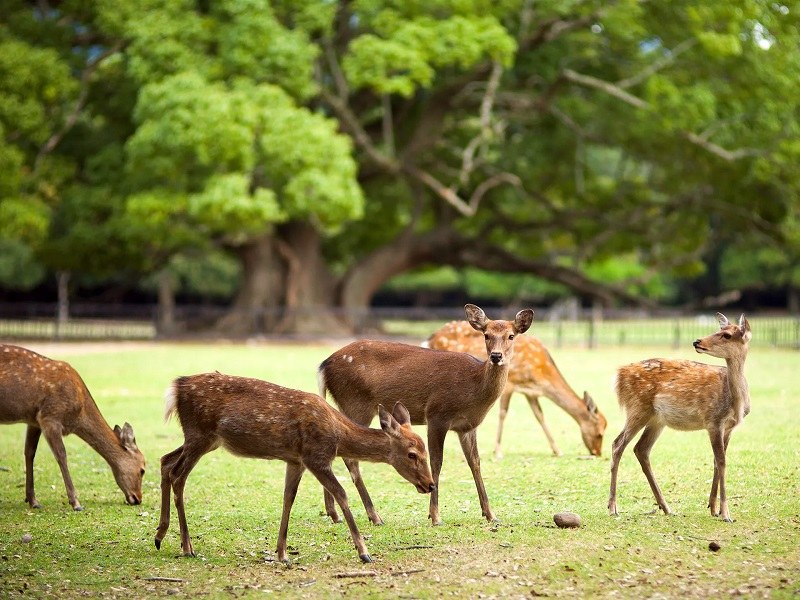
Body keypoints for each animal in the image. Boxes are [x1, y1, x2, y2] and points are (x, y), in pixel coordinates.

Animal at [0, 344, 145, 508]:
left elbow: (29, 452)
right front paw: (75, 502)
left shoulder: (34, 420)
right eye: (142, 470)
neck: (78, 416)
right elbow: (61, 455)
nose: (138, 498)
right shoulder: (50, 417)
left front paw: (33, 501)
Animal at [153, 372, 434, 564]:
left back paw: (159, 536)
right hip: (200, 434)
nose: (430, 484)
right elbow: (341, 494)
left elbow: (288, 498)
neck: (338, 435)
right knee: (178, 475)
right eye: (412, 454)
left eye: (425, 451)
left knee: (165, 461)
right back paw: (187, 546)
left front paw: (282, 553)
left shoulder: (295, 460)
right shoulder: (315, 456)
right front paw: (364, 552)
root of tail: (176, 388)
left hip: (203, 439)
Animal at [318, 304, 532, 524]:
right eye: (486, 335)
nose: (496, 356)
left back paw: (334, 513)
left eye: (511, 336)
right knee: (350, 457)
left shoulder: (467, 426)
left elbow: (475, 463)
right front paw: (435, 516)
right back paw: (374, 516)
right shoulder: (437, 415)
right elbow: (436, 462)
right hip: (355, 403)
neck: (474, 388)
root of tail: (324, 365)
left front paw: (490, 514)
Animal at [424, 322, 608, 458]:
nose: (597, 453)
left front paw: (557, 450)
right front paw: (498, 452)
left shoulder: (531, 392)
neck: (540, 373)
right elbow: (503, 414)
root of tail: (430, 338)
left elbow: (539, 415)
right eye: (600, 433)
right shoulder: (510, 384)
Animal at [608, 314, 752, 520]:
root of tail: (618, 376)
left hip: (656, 419)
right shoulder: (713, 421)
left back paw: (666, 507)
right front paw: (726, 513)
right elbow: (722, 461)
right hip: (637, 408)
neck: (735, 403)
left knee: (641, 449)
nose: (697, 341)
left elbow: (717, 462)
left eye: (726, 335)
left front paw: (713, 508)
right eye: (718, 330)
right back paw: (613, 507)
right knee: (617, 444)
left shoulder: (729, 427)